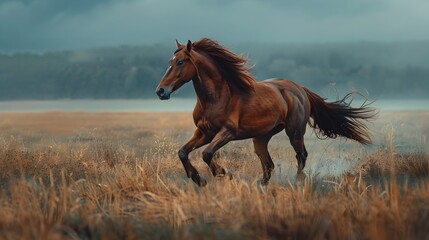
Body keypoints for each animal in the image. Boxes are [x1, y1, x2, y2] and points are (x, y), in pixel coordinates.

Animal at [155, 38, 374, 187]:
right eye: (169, 62)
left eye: (180, 62)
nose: (161, 91)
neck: (216, 97)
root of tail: (300, 89)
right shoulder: (204, 133)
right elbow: (183, 152)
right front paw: (198, 179)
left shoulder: (227, 133)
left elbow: (207, 154)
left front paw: (223, 173)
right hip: (261, 137)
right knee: (268, 165)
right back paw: (261, 187)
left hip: (294, 132)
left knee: (301, 156)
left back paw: (298, 182)